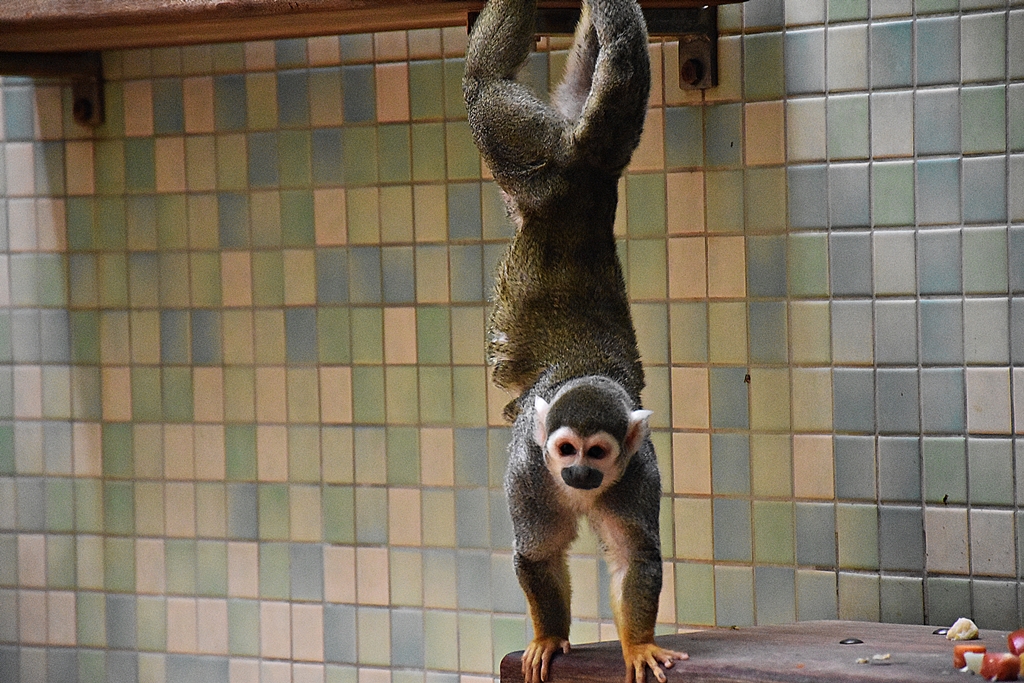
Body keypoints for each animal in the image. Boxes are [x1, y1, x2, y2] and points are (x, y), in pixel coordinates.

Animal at [462, 1, 687, 682]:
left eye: (598, 452)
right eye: (564, 450)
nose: (581, 474)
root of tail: (584, 177)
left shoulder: (639, 474)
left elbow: (637, 557)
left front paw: (638, 645)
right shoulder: (529, 471)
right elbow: (537, 554)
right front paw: (549, 636)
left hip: (548, 155)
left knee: (587, 79)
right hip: (528, 158)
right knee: (482, 83)